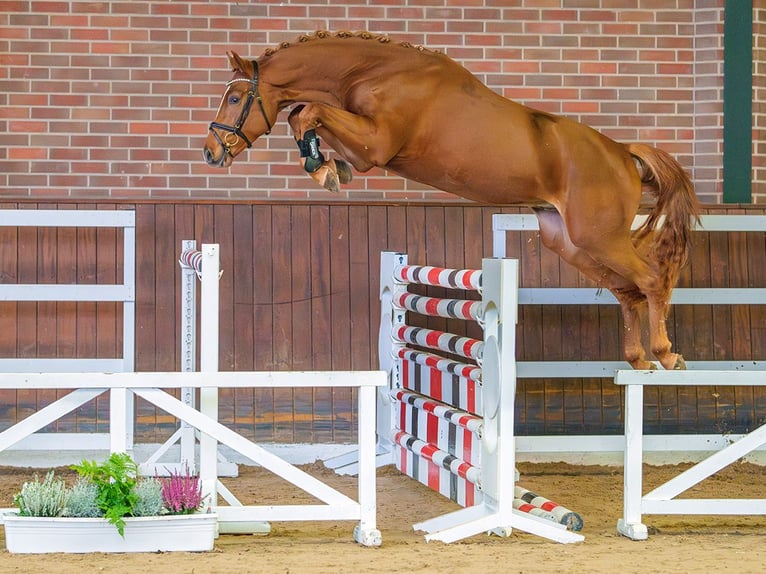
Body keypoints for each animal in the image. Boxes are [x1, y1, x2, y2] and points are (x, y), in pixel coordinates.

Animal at [204, 31, 704, 372]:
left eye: (235, 97)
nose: (210, 153)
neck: (374, 73)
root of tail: (621, 153)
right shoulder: (365, 147)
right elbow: (300, 114)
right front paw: (326, 167)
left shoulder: (374, 147)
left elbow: (307, 111)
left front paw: (322, 166)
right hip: (570, 242)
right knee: (628, 291)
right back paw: (638, 359)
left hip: (599, 236)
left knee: (651, 279)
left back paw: (665, 355)